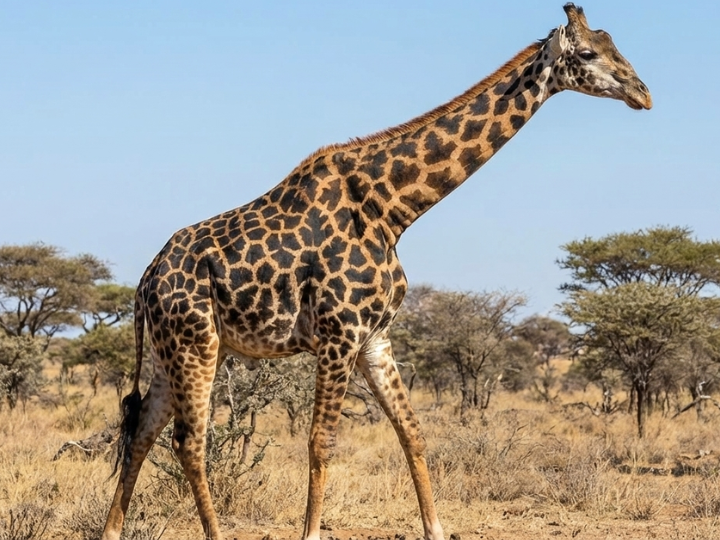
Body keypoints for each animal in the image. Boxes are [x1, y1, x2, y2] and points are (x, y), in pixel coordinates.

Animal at [102, 4, 651, 540]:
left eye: (613, 44)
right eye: (587, 52)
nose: (643, 93)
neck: (394, 210)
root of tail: (146, 281)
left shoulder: (375, 338)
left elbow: (413, 432)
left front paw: (435, 529)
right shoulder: (338, 334)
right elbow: (321, 442)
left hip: (170, 351)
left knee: (142, 429)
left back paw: (112, 531)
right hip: (197, 344)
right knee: (188, 442)